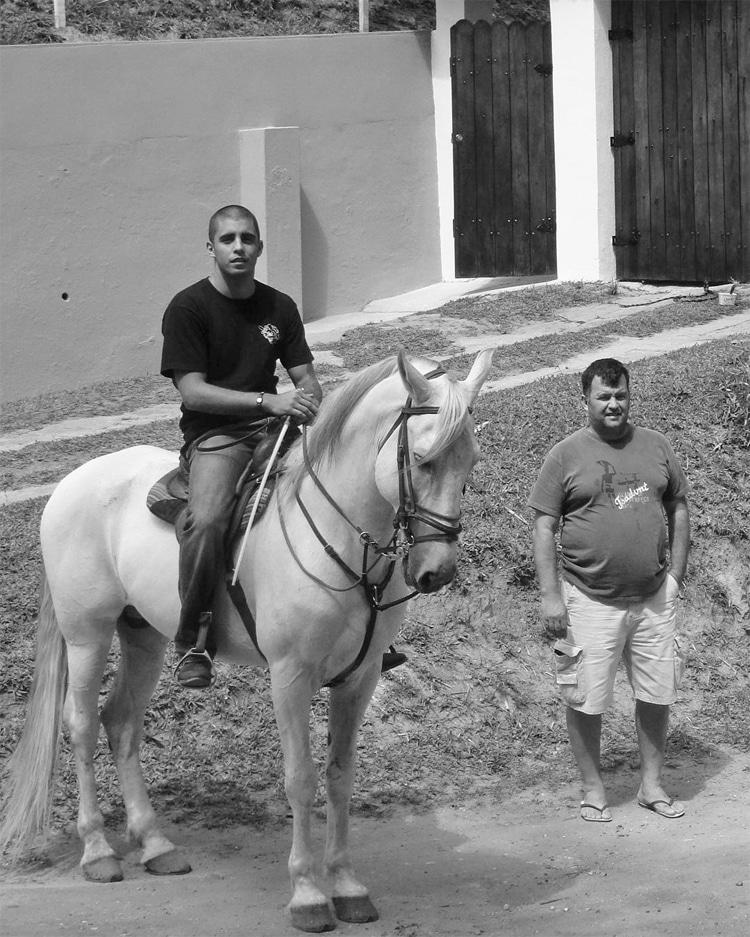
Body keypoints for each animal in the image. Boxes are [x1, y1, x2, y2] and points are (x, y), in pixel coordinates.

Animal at [1, 350, 494, 928]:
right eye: (422, 460)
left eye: (472, 461)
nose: (437, 571)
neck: (338, 534)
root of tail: (72, 482)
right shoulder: (290, 676)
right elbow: (301, 779)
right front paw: (307, 893)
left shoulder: (361, 678)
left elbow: (341, 775)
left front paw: (346, 885)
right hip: (87, 634)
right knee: (79, 725)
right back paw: (98, 851)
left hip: (142, 635)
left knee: (120, 721)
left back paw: (154, 844)